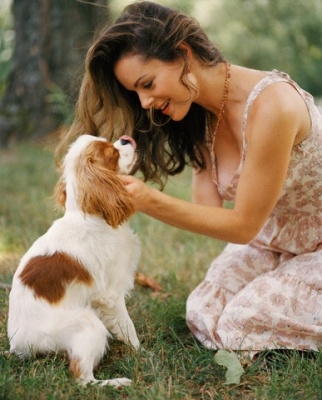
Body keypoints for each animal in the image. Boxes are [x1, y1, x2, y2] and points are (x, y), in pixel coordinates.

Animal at [6, 134, 140, 388]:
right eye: (111, 152)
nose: (126, 138)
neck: (90, 216)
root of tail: (19, 346)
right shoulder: (111, 294)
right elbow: (127, 326)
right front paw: (140, 350)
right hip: (88, 324)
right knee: (82, 376)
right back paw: (117, 382)